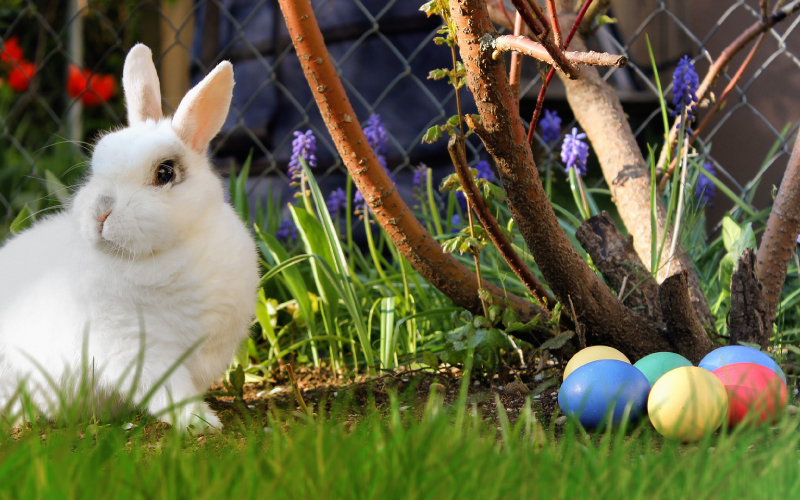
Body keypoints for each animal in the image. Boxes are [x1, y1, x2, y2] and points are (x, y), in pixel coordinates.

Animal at [0, 45, 258, 432]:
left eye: (165, 173)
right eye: (96, 165)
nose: (100, 212)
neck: (165, 255)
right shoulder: (137, 350)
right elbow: (171, 391)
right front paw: (202, 423)